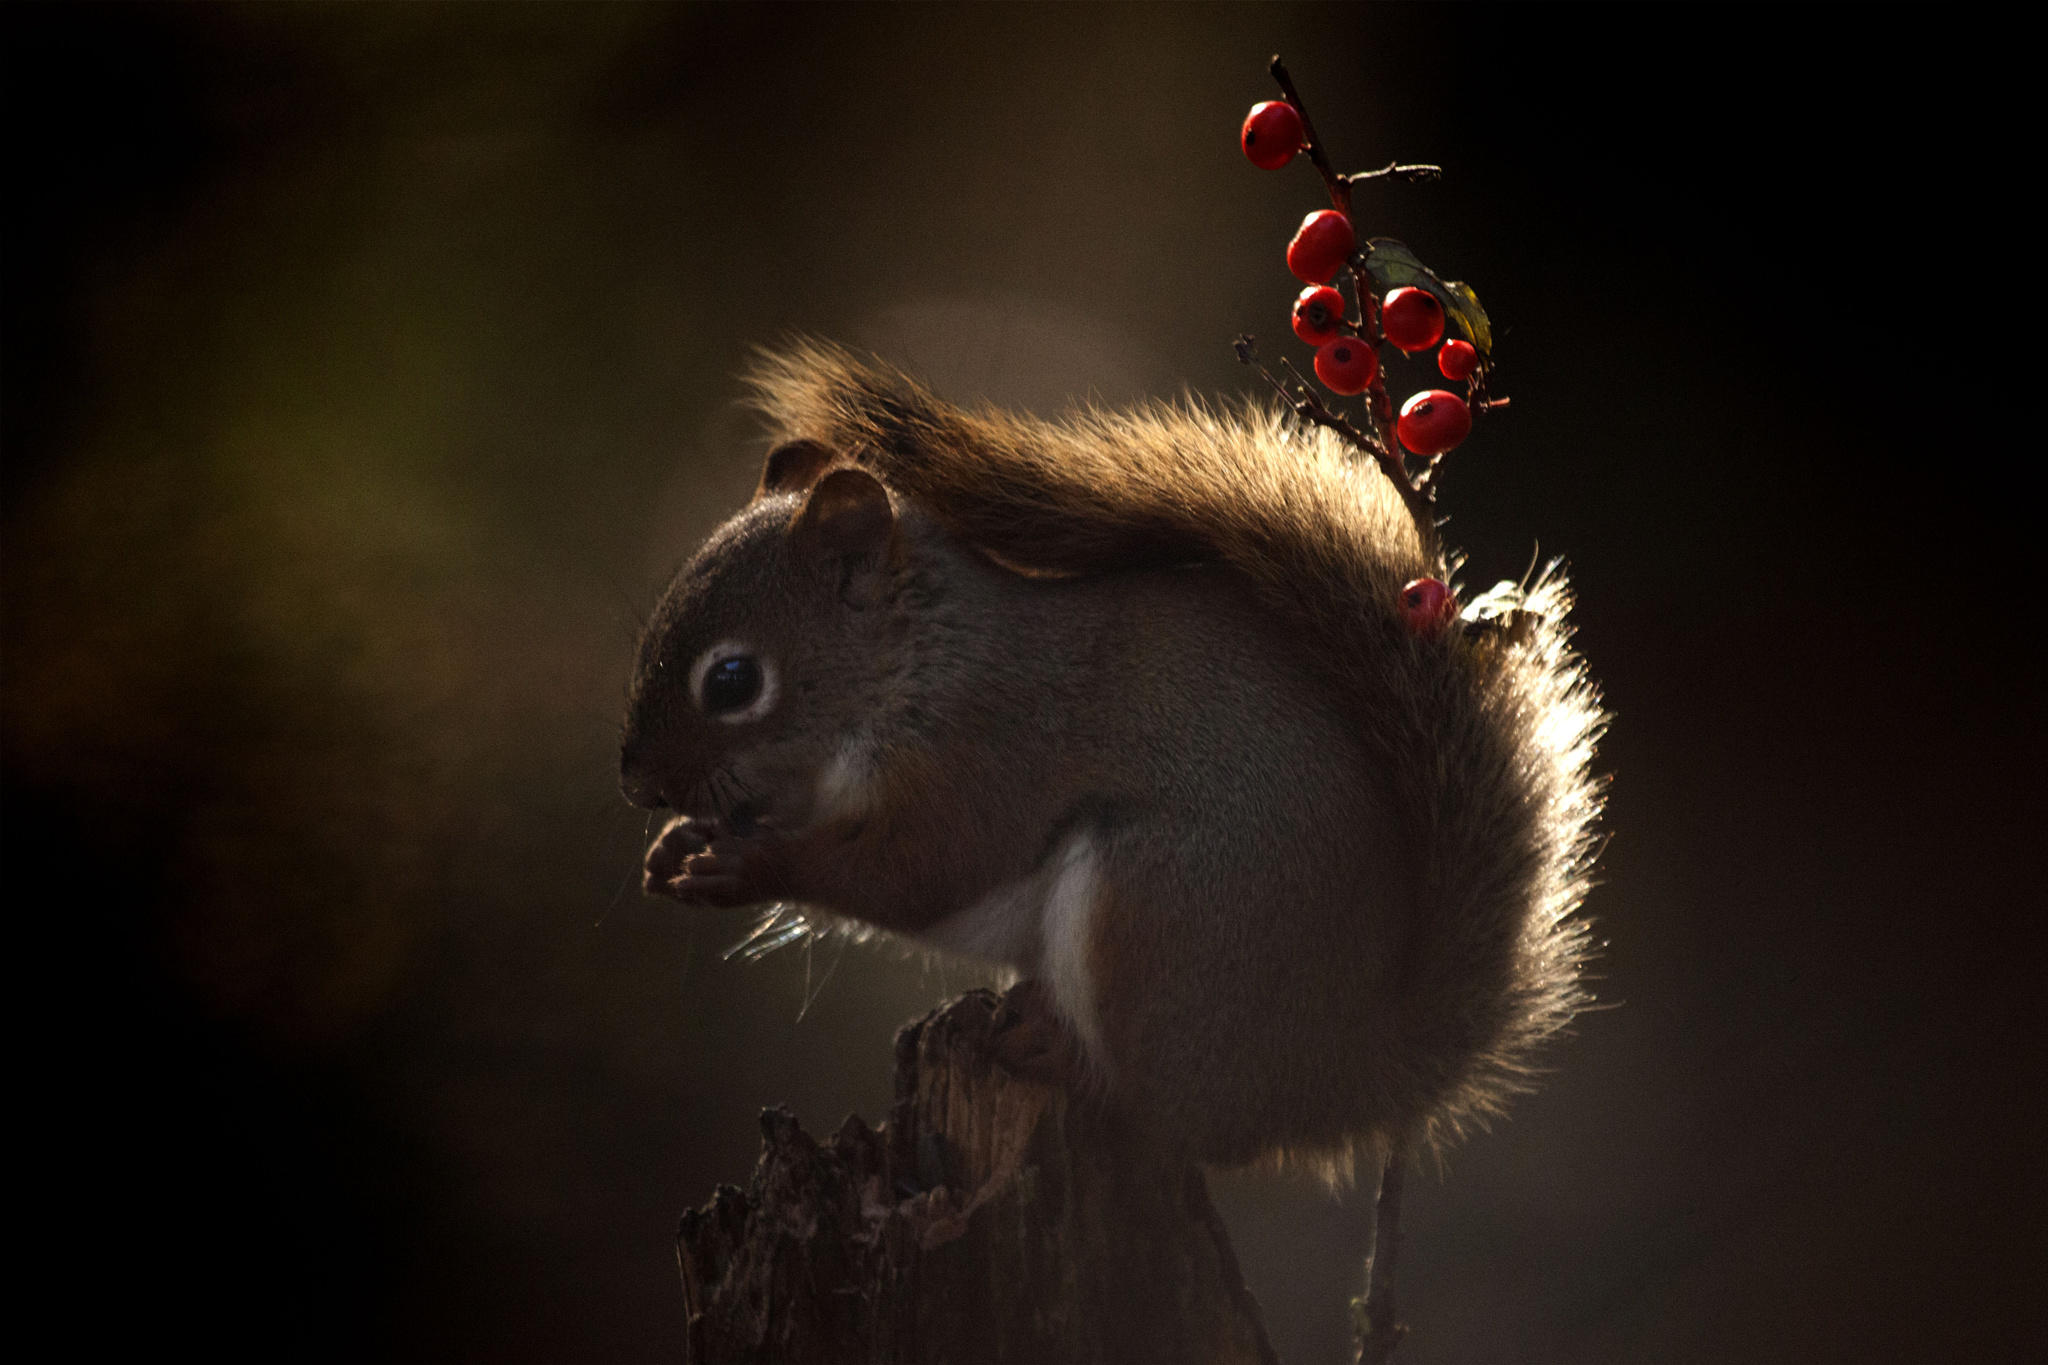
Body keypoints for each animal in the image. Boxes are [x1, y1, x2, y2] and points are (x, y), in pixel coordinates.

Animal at [614, 343, 1605, 1178]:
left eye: (733, 680)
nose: (635, 784)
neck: (919, 663)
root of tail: (1333, 1078)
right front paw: (675, 849)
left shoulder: (988, 748)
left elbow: (915, 870)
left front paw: (745, 867)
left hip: (1157, 905)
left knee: (1161, 1116)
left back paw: (1059, 1054)